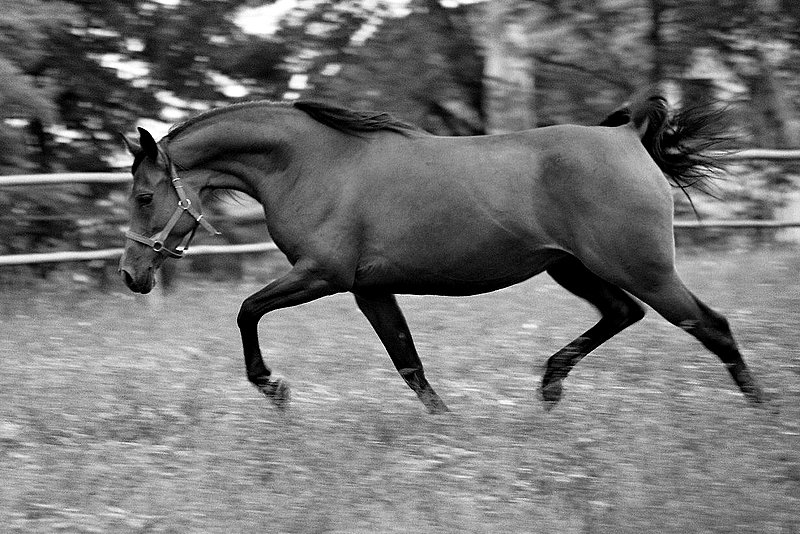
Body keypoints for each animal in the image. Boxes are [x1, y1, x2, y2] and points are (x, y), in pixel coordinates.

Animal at [119, 95, 764, 414]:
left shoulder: (323, 275)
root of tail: (628, 137)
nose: (132, 275)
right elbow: (409, 364)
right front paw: (447, 429)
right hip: (573, 268)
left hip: (642, 268)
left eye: (145, 196)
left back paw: (765, 419)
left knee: (712, 326)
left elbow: (247, 310)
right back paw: (549, 390)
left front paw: (273, 388)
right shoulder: (369, 288)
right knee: (624, 314)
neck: (313, 164)